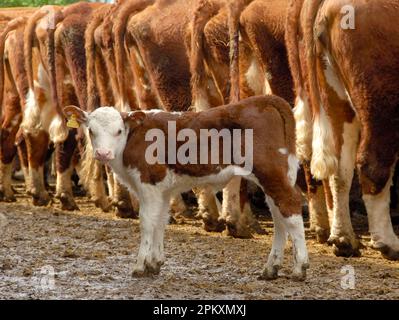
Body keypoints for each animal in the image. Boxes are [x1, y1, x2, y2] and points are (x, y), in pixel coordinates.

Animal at [65, 95, 310, 280]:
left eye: (118, 131)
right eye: (91, 130)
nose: (103, 153)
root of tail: (264, 99)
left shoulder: (148, 183)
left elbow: (147, 223)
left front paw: (140, 266)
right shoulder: (163, 191)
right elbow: (161, 222)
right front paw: (155, 263)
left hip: (270, 172)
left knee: (290, 206)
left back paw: (300, 268)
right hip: (276, 175)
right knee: (279, 216)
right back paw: (271, 268)